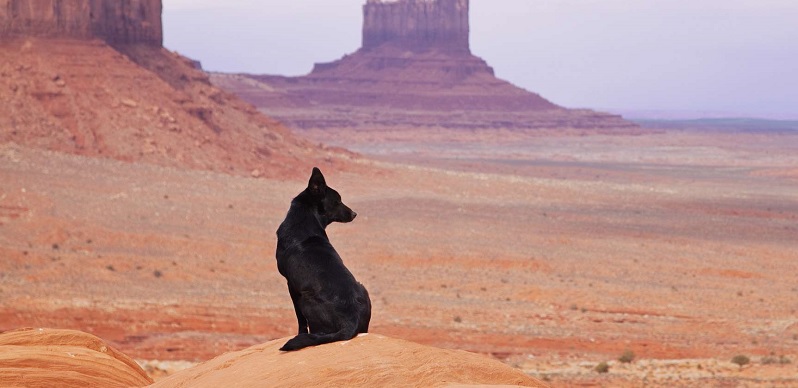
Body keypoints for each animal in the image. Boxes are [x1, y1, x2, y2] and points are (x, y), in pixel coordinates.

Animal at [276, 167, 374, 352]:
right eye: (337, 201)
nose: (354, 214)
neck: (306, 218)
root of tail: (351, 321)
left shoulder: (291, 284)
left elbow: (300, 320)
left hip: (305, 299)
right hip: (363, 287)